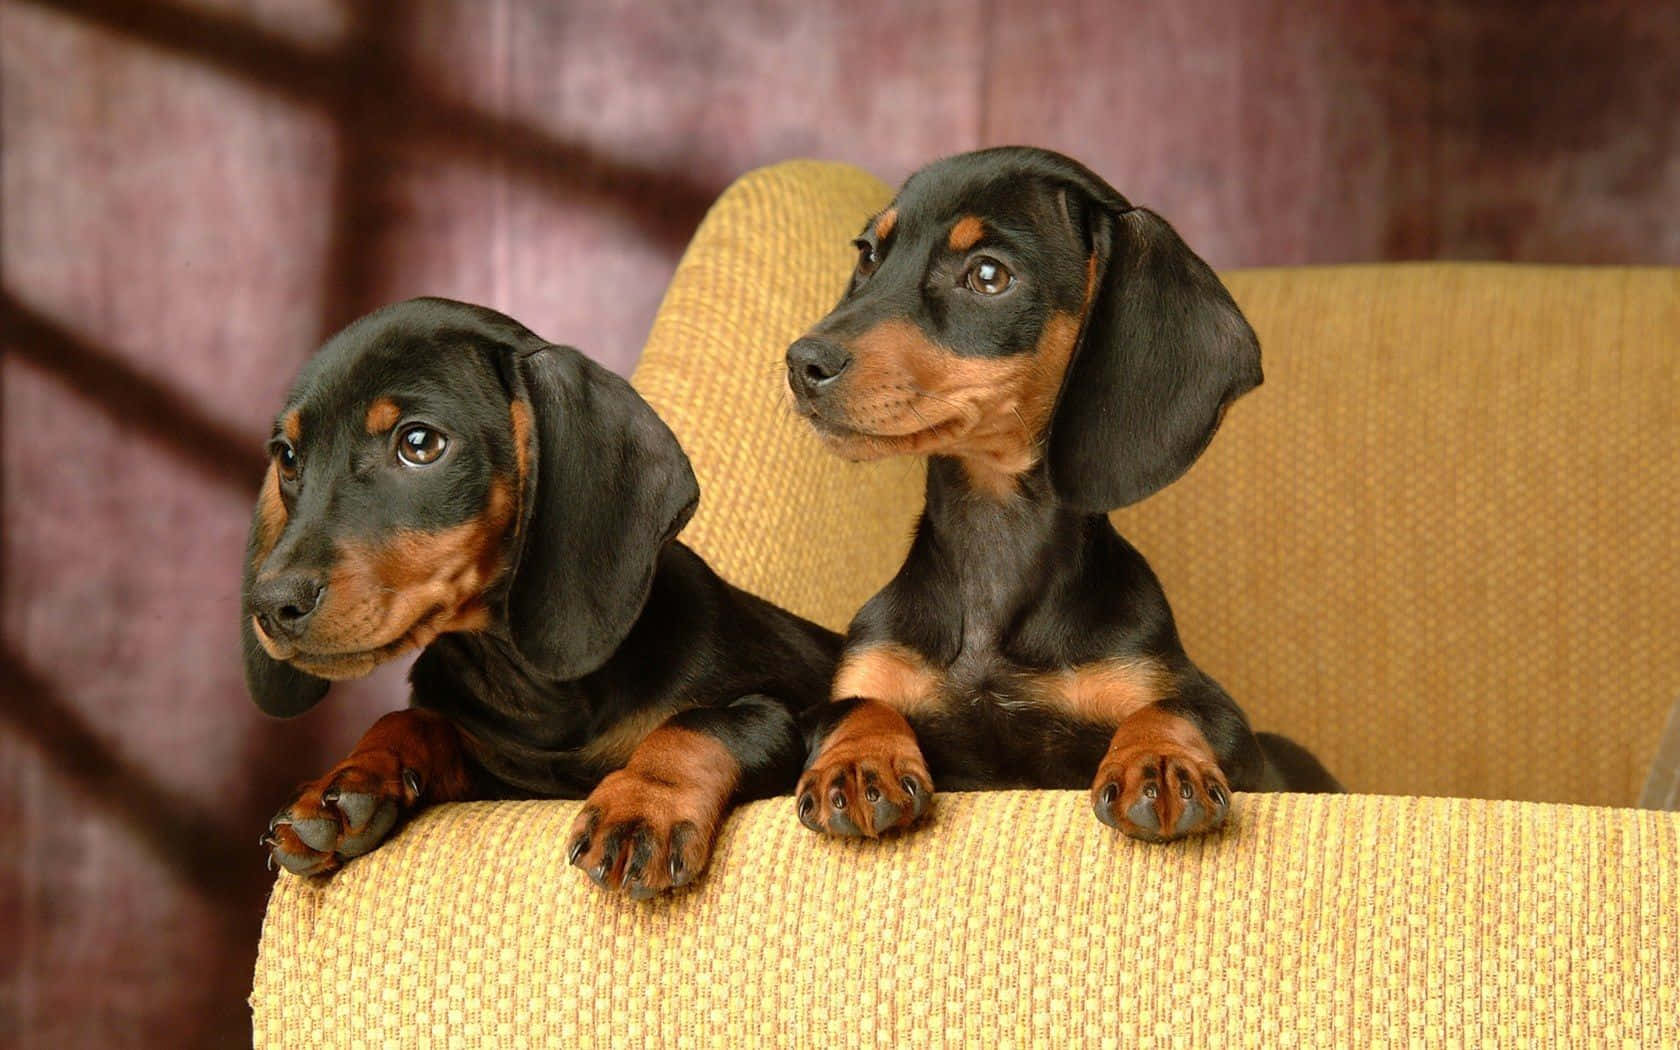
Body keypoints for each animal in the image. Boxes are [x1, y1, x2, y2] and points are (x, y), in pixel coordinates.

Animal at [248, 295, 840, 893]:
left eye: (420, 443)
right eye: (288, 457)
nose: (270, 604)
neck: (535, 691)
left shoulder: (791, 716)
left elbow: (704, 722)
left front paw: (644, 802)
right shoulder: (506, 777)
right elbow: (411, 719)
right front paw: (349, 777)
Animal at [782, 147, 1337, 843]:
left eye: (988, 275)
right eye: (868, 254)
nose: (802, 363)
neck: (993, 554)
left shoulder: (1205, 709)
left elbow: (1170, 708)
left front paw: (1158, 762)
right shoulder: (859, 680)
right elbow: (855, 707)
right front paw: (861, 761)